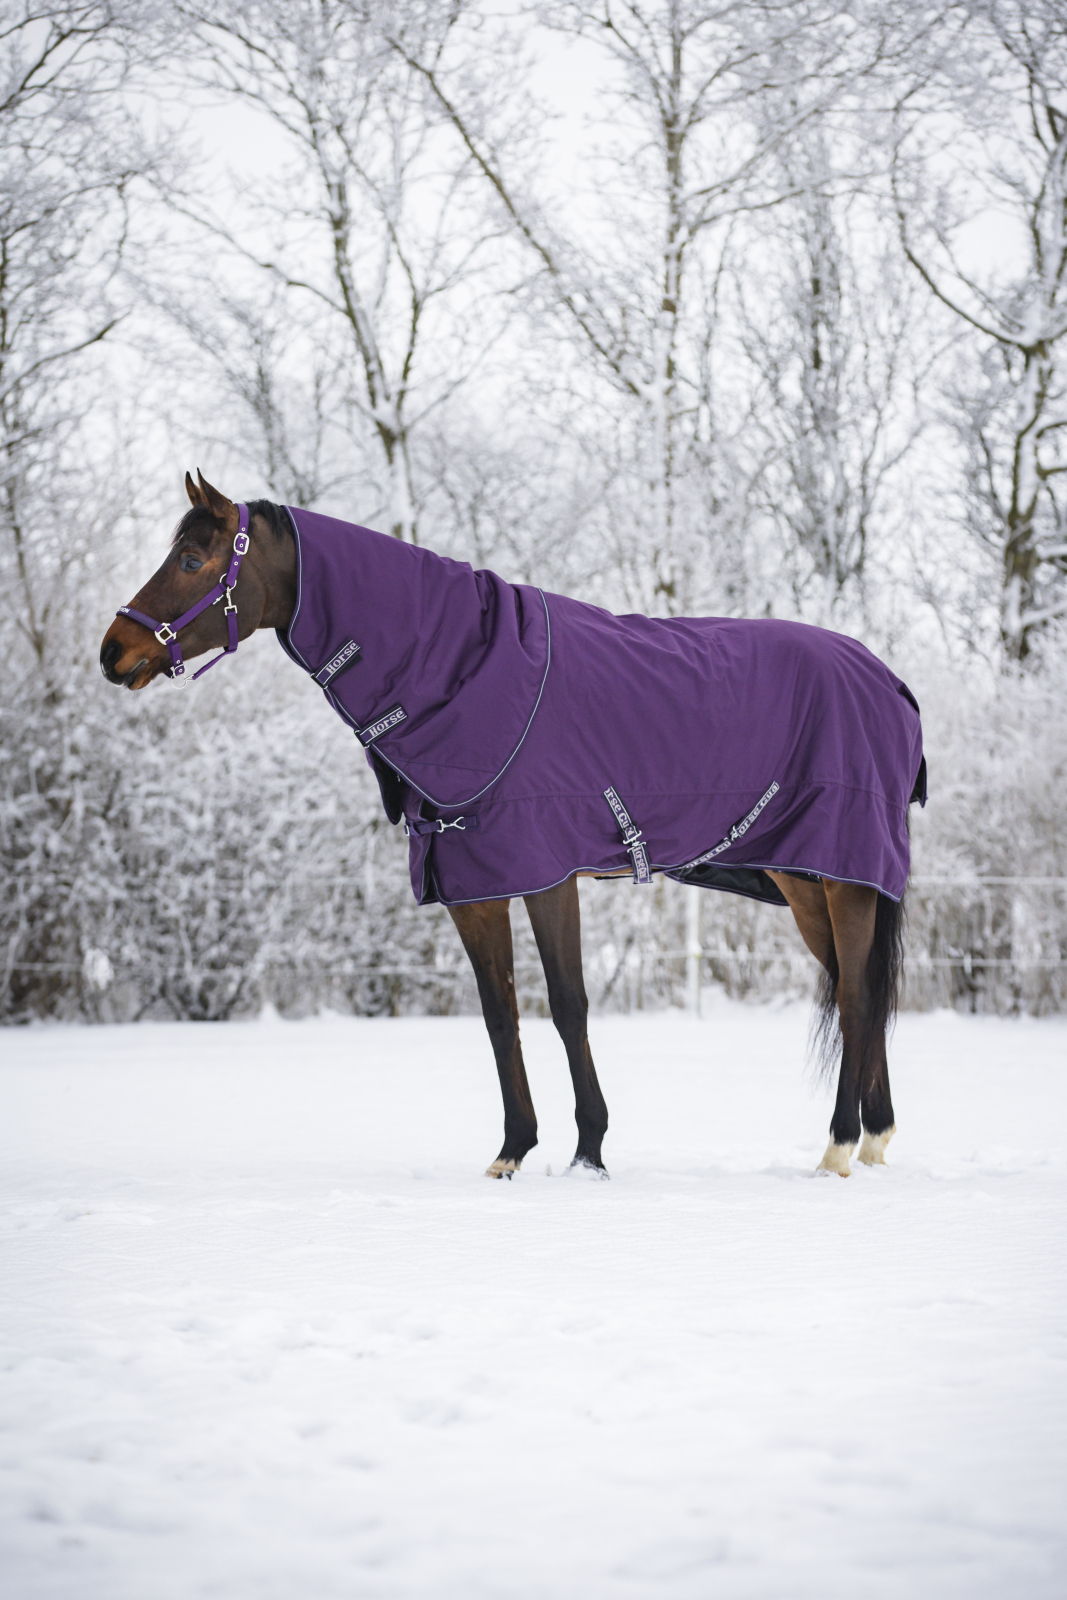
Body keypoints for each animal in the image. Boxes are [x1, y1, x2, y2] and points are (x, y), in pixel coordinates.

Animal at [100, 472, 926, 1181]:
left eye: (192, 558)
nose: (114, 651)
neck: (465, 672)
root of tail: (889, 682)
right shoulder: (474, 885)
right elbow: (500, 1014)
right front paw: (512, 1150)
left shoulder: (545, 873)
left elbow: (566, 1006)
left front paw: (588, 1150)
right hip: (807, 882)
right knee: (855, 990)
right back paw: (875, 1138)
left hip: (842, 877)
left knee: (856, 999)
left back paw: (838, 1147)